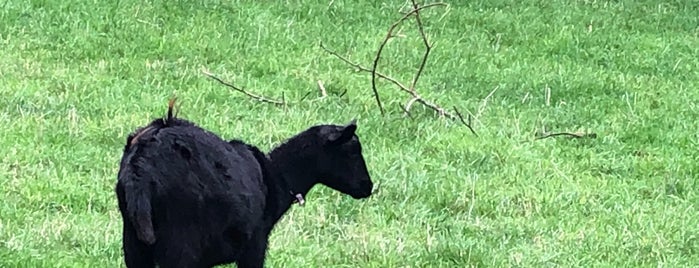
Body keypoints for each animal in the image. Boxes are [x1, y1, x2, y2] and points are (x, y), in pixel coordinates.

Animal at [115, 99, 374, 266]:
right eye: (353, 151)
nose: (368, 186)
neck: (277, 176)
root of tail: (141, 166)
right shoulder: (255, 246)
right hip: (181, 242)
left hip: (134, 242)